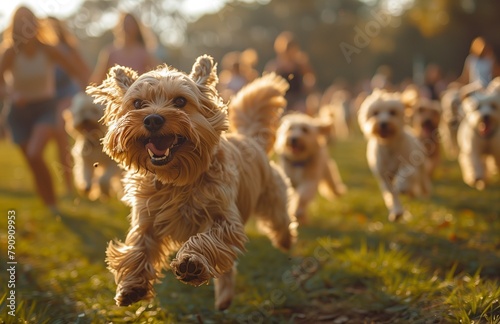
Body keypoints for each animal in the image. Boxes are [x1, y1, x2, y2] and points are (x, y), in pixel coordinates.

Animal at [87, 55, 296, 308]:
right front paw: (132, 286)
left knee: (279, 219)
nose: (153, 119)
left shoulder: (225, 218)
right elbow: (138, 248)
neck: (176, 177)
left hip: (271, 196)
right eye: (137, 104)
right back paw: (224, 300)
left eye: (180, 101)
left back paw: (285, 241)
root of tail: (251, 138)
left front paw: (191, 263)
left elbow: (209, 239)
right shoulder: (147, 219)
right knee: (227, 269)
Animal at [358, 88, 432, 221]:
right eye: (375, 113)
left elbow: (405, 173)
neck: (389, 145)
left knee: (422, 179)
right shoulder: (384, 176)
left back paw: (422, 190)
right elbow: (392, 194)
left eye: (392, 112)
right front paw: (397, 211)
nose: (383, 123)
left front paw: (402, 185)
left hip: (422, 164)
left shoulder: (410, 164)